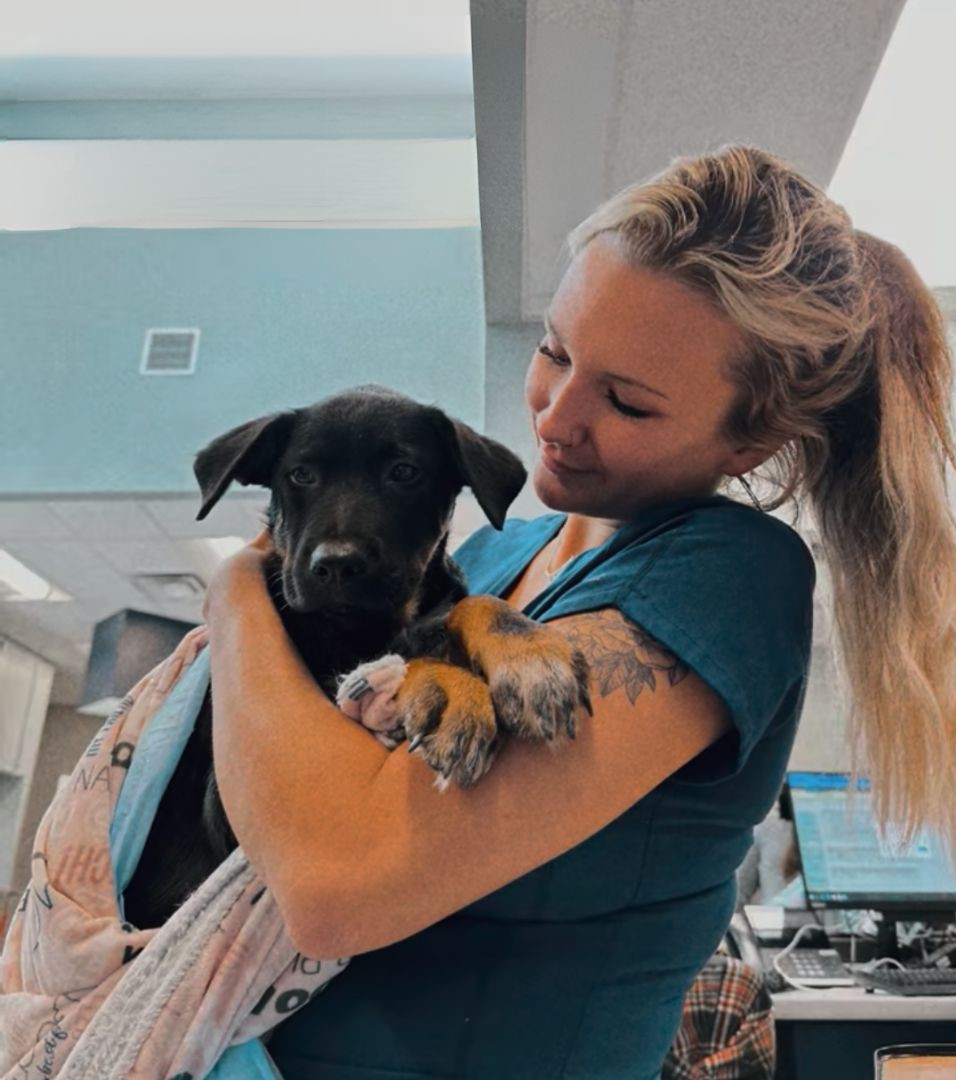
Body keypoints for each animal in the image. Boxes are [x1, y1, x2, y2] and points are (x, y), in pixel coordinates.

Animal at [120, 386, 587, 928]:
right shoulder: (223, 806)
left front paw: (524, 648)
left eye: (404, 472)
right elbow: (383, 666)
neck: (360, 627)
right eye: (301, 474)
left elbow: (469, 604)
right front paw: (448, 692)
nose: (338, 565)